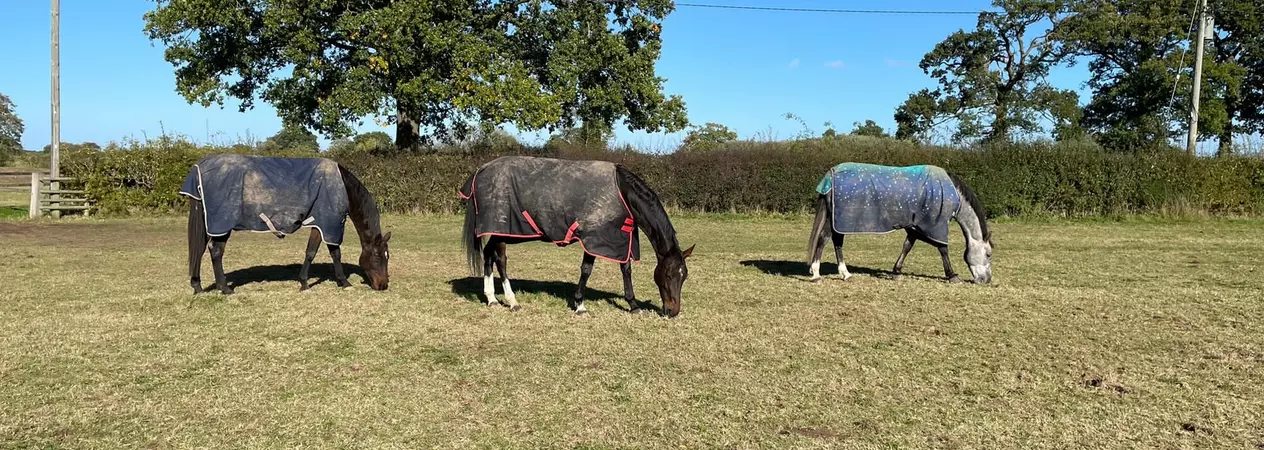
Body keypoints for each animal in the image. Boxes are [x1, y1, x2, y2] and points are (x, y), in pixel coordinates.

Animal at [180, 153, 391, 294]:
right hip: (221, 224)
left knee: (201, 250)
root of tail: (199, 168)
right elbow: (328, 253)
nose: (383, 285)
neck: (342, 187)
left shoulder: (321, 224)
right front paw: (340, 282)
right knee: (215, 252)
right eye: (378, 256)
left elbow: (317, 252)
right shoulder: (329, 223)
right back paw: (225, 288)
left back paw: (198, 286)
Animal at [458, 155, 695, 318]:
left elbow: (626, 269)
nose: (673, 311)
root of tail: (481, 171)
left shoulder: (621, 238)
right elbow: (586, 270)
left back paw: (491, 299)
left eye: (684, 276)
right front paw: (580, 305)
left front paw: (633, 305)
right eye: (669, 275)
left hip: (500, 232)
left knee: (488, 255)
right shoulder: (594, 238)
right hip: (502, 229)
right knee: (501, 260)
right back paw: (512, 300)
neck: (622, 192)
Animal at [805, 162, 993, 284]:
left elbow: (907, 246)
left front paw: (896, 272)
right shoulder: (935, 225)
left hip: (839, 220)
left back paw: (845, 274)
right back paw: (816, 274)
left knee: (836, 242)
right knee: (823, 239)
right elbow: (943, 249)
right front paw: (952, 275)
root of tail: (831, 175)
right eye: (988, 254)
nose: (987, 279)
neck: (951, 193)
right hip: (838, 219)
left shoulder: (915, 226)